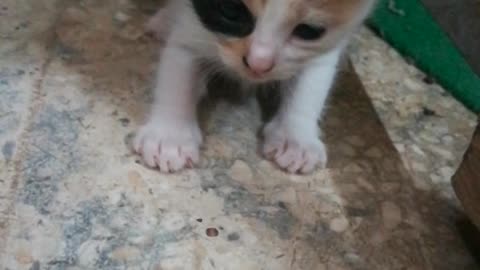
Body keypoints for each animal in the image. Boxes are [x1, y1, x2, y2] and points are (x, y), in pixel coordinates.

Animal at [134, 0, 376, 173]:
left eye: (309, 30)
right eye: (230, 10)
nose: (259, 64)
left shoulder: (325, 46)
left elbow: (311, 82)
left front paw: (295, 138)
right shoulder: (191, 27)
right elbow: (178, 71)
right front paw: (169, 136)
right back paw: (165, 20)